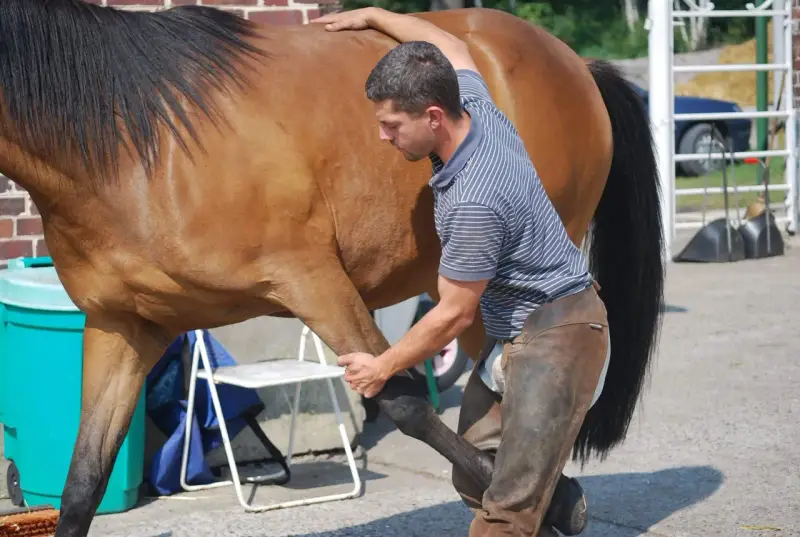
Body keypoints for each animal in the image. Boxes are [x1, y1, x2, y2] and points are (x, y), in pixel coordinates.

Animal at [0, 1, 665, 535]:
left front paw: (566, 503)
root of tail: (575, 62)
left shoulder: (312, 280)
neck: (138, 143)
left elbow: (405, 404)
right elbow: (83, 481)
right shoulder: (124, 327)